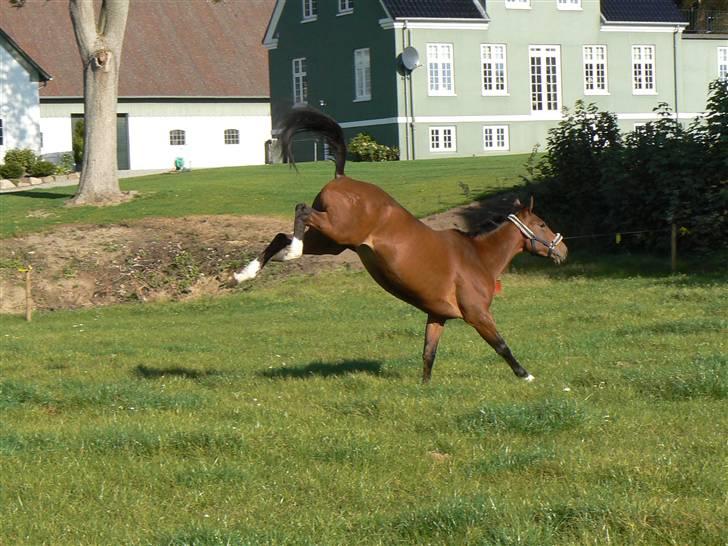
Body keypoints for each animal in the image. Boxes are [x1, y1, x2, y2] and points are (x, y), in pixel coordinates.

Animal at [235, 108, 568, 382]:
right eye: (541, 224)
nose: (563, 250)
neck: (479, 257)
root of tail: (342, 177)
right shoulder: (477, 315)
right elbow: (501, 345)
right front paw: (526, 375)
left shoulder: (437, 316)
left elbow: (428, 353)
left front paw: (425, 387)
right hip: (337, 231)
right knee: (301, 210)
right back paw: (286, 254)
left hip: (331, 242)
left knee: (282, 236)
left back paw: (249, 271)